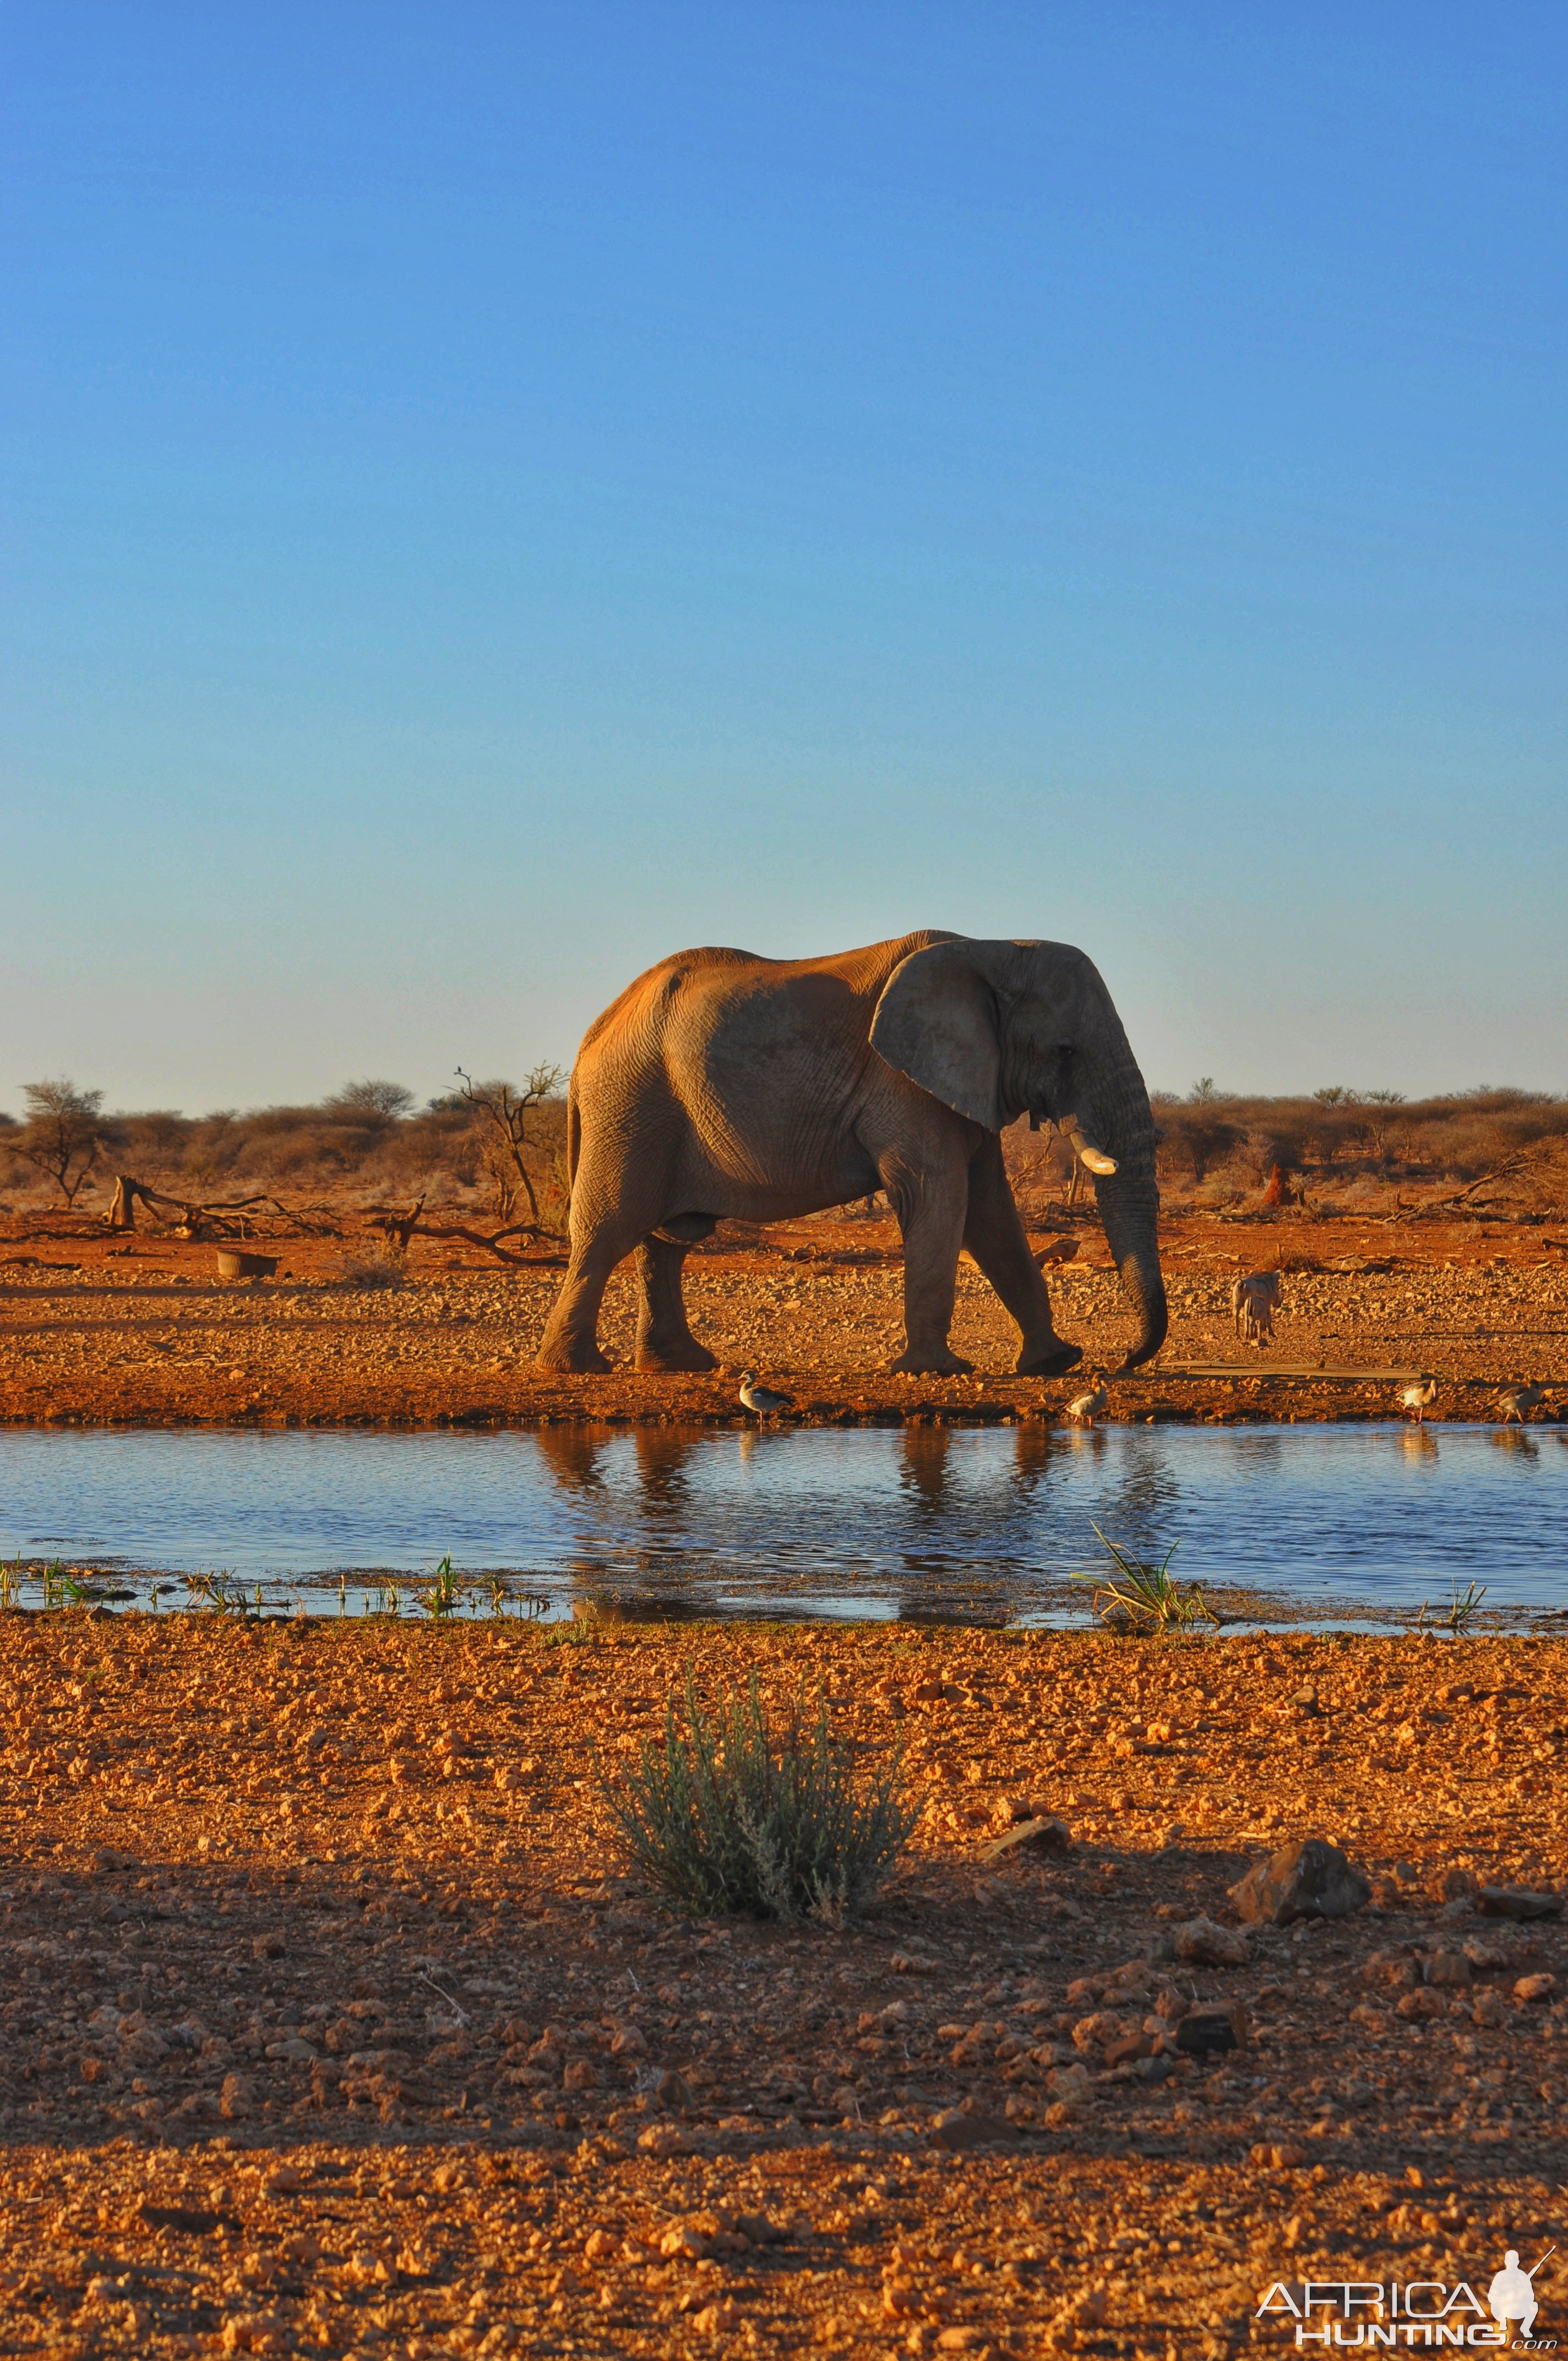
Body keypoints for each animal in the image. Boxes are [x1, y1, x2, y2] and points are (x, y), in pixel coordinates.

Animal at [536, 930, 1162, 1379]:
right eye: (1065, 1051)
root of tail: (594, 1031)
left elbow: (991, 1212)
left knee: (664, 1240)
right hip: (630, 1101)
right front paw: (936, 1371)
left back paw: (679, 1366)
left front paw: (1055, 1363)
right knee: (608, 1229)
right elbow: (936, 1194)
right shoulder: (903, 1084)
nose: (1123, 1362)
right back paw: (577, 1368)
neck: (995, 949)